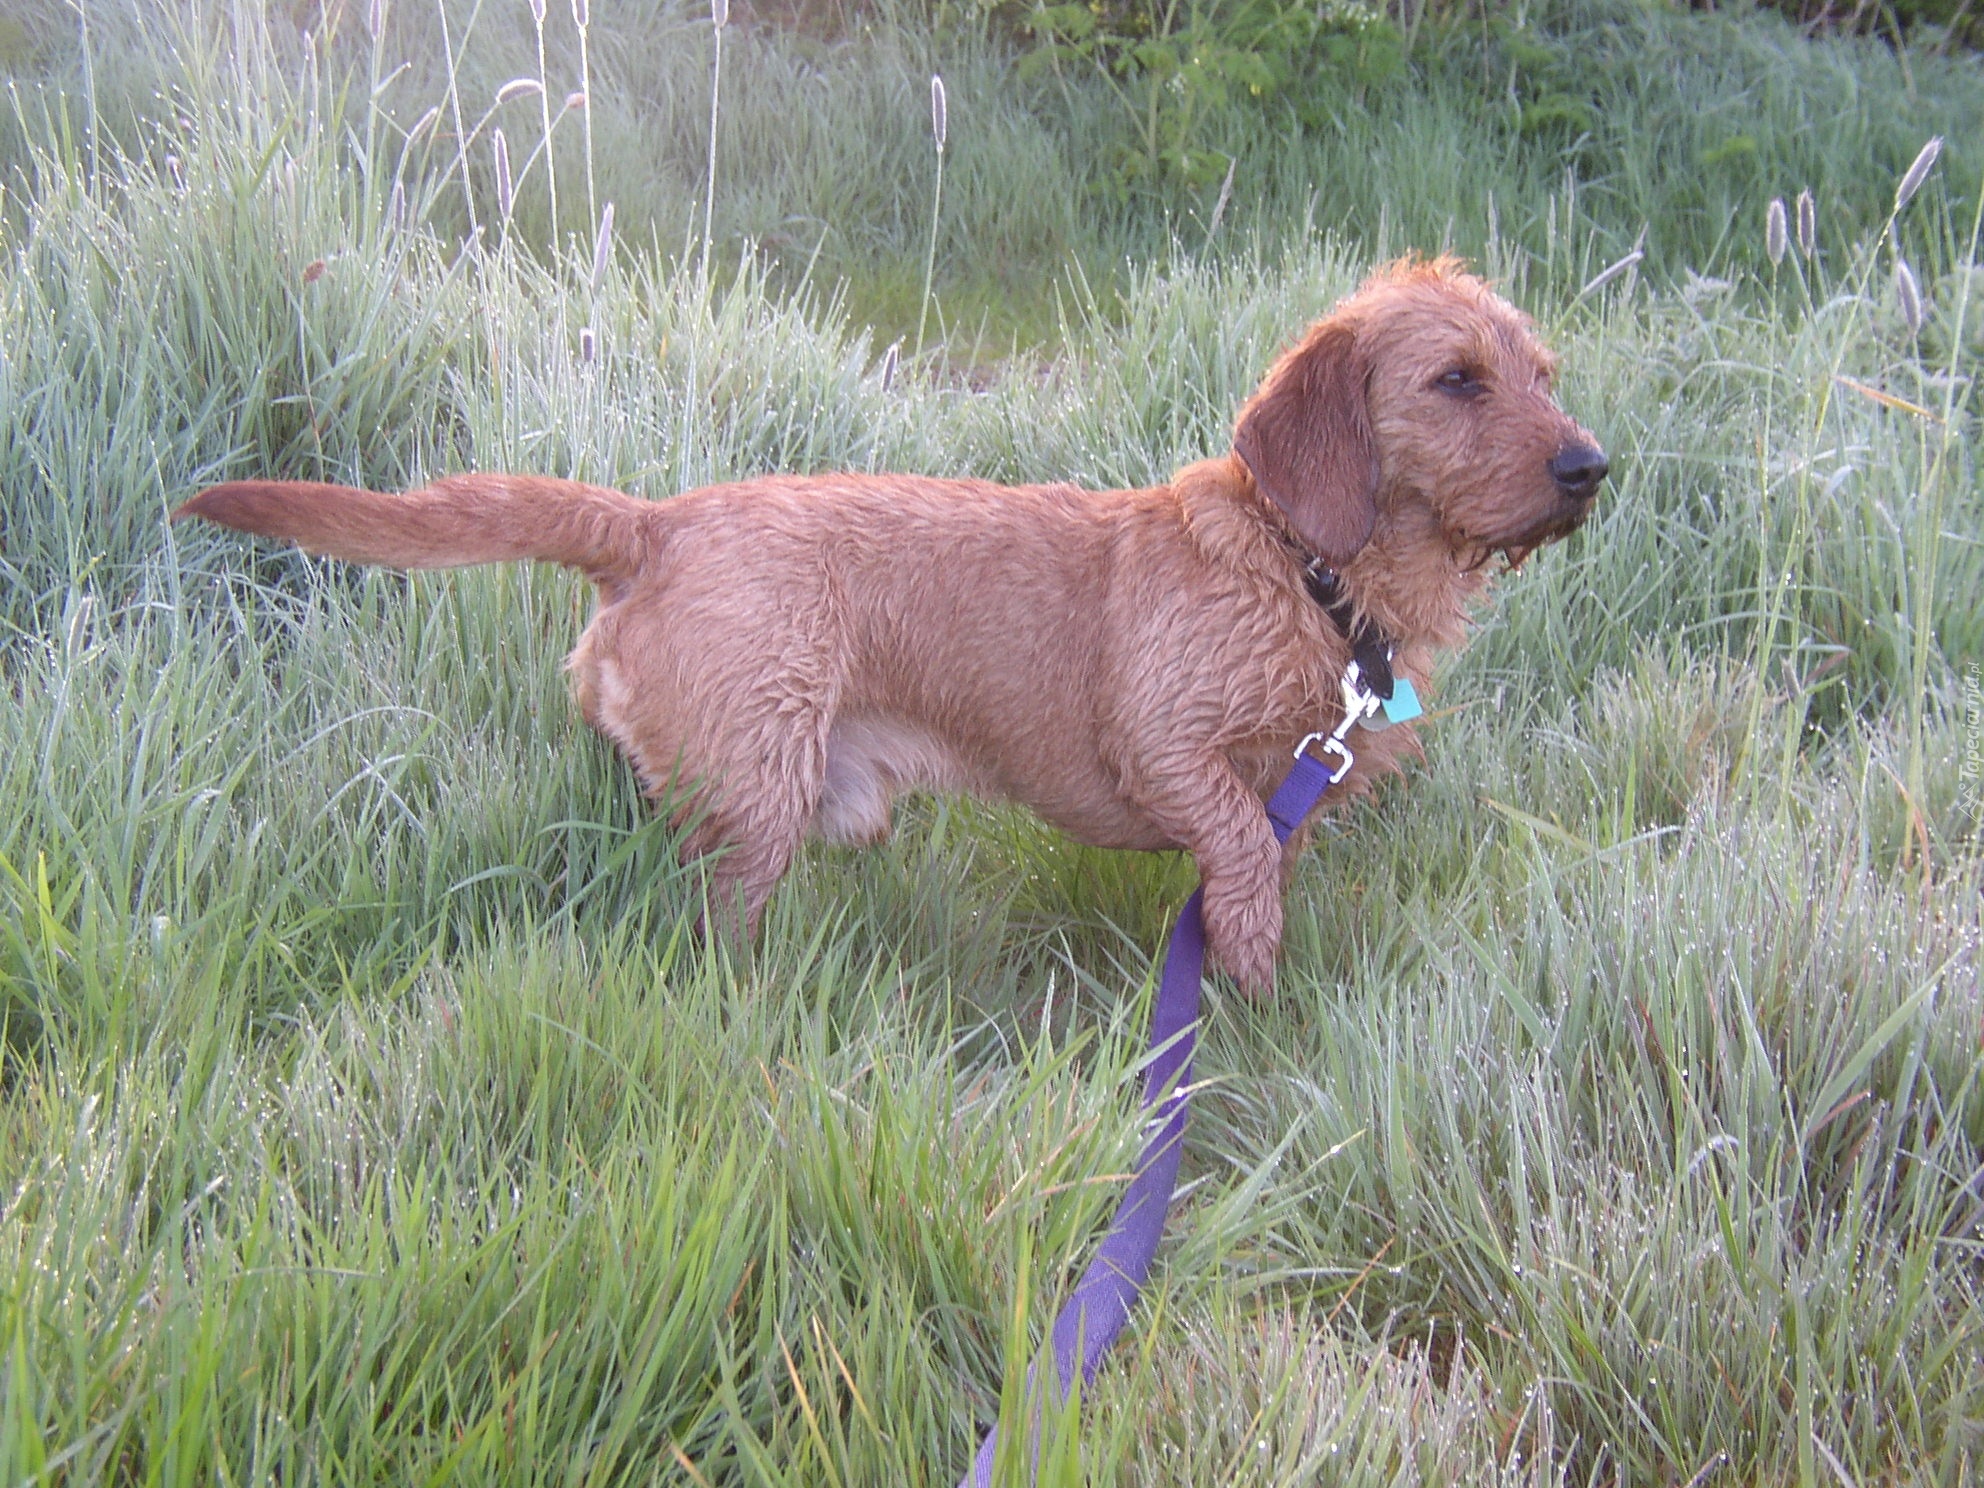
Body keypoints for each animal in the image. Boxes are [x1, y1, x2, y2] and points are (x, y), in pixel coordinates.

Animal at [166, 259, 1595, 992]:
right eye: (1455, 381)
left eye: (1541, 374)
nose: (1592, 467)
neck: (1311, 577)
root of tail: (658, 523)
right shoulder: (1167, 748)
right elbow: (1241, 860)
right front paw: (1238, 1002)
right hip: (760, 797)